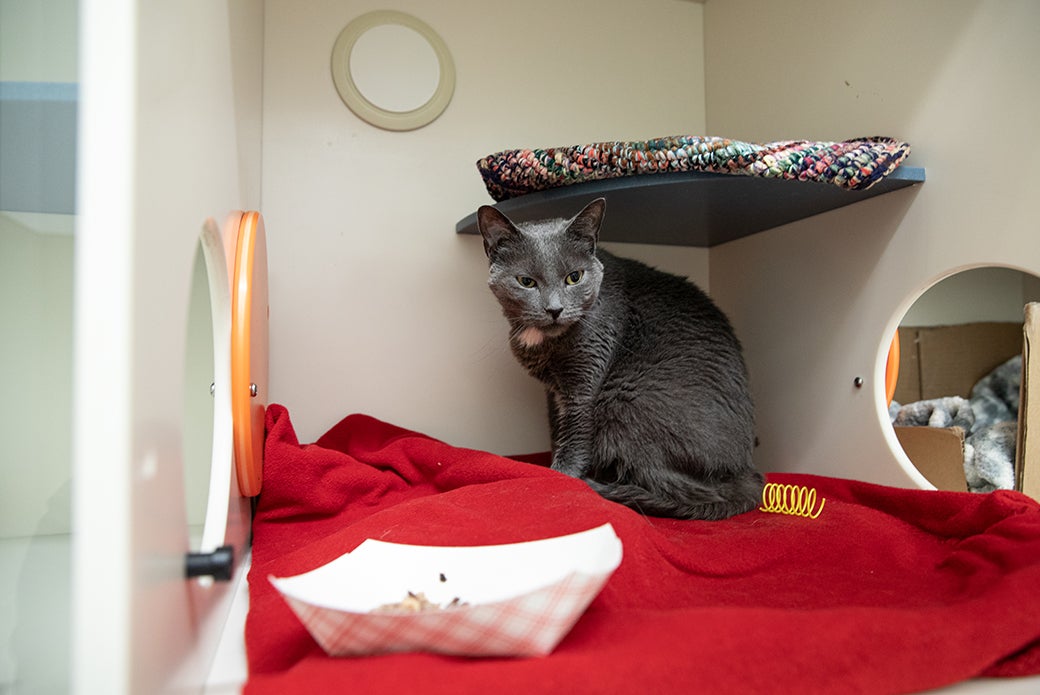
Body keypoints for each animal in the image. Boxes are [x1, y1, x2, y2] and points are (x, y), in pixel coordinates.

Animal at [476, 197, 763, 520]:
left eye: (574, 277)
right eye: (526, 281)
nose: (555, 309)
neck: (544, 341)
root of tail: (746, 471)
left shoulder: (586, 381)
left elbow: (575, 435)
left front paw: (560, 477)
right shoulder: (554, 390)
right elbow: (556, 429)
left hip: (624, 400)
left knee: (674, 486)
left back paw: (603, 487)